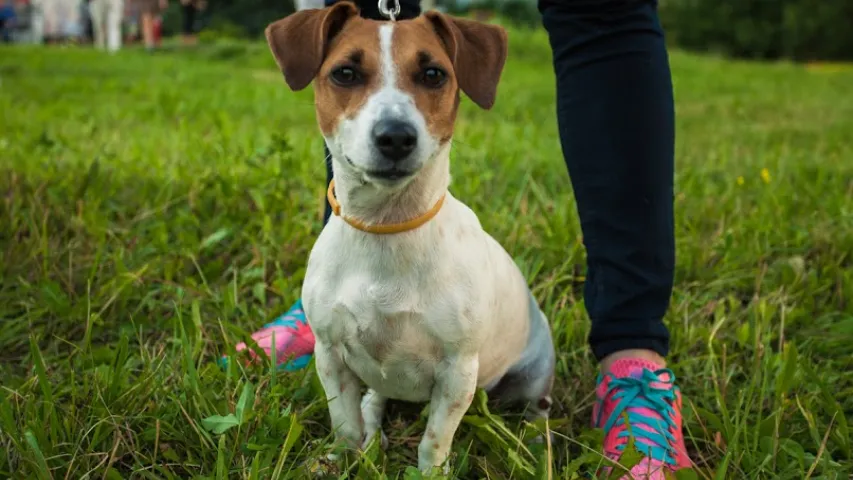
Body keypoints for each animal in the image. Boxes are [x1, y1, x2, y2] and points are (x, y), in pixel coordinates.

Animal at [266, 1, 560, 470]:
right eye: (345, 73)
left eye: (434, 74)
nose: (395, 136)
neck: (387, 227)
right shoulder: (329, 356)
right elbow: (345, 424)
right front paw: (345, 458)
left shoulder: (458, 373)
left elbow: (434, 440)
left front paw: (430, 473)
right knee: (375, 398)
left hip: (534, 377)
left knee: (539, 410)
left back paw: (536, 445)